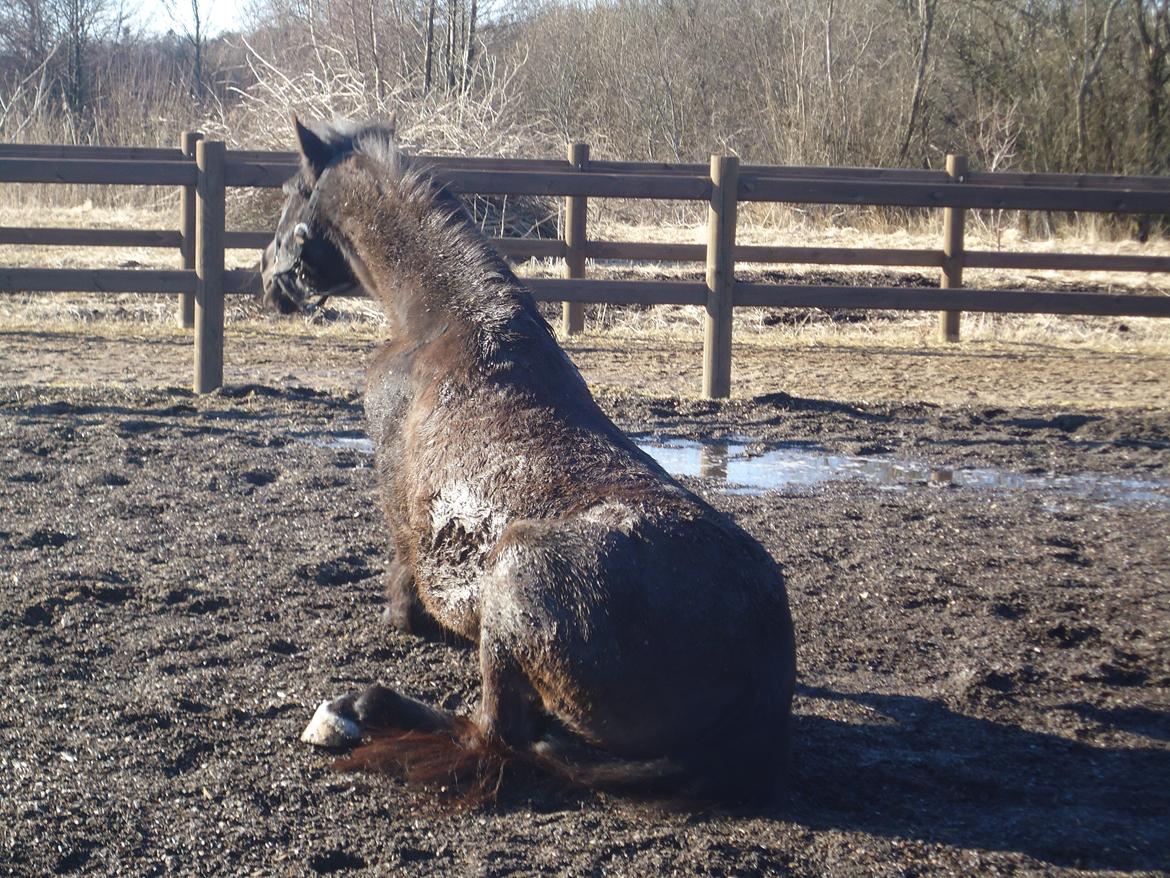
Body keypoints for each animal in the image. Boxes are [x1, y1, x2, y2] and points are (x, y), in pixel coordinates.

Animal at [264, 120, 795, 810]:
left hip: (514, 571)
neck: (440, 321)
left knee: (491, 734)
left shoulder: (401, 521)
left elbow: (404, 604)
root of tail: (765, 676)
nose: (266, 280)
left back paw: (356, 709)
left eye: (289, 195)